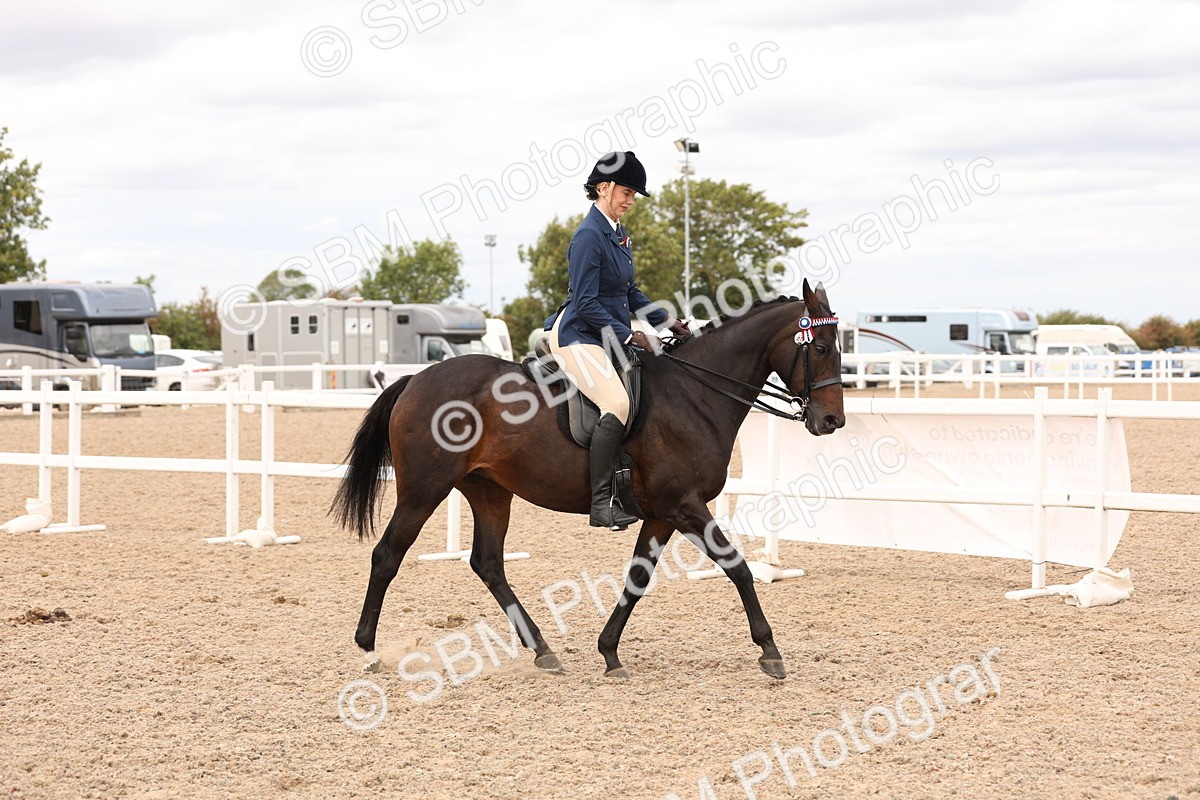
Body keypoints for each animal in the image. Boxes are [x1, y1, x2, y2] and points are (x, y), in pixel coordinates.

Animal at [331, 278, 845, 679]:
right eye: (820, 348)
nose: (832, 421)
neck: (694, 394)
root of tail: (415, 380)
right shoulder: (685, 505)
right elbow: (737, 566)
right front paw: (770, 651)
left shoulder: (663, 514)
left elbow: (638, 577)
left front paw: (610, 651)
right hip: (424, 490)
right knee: (387, 556)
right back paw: (368, 651)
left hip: (490, 491)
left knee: (488, 563)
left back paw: (543, 650)